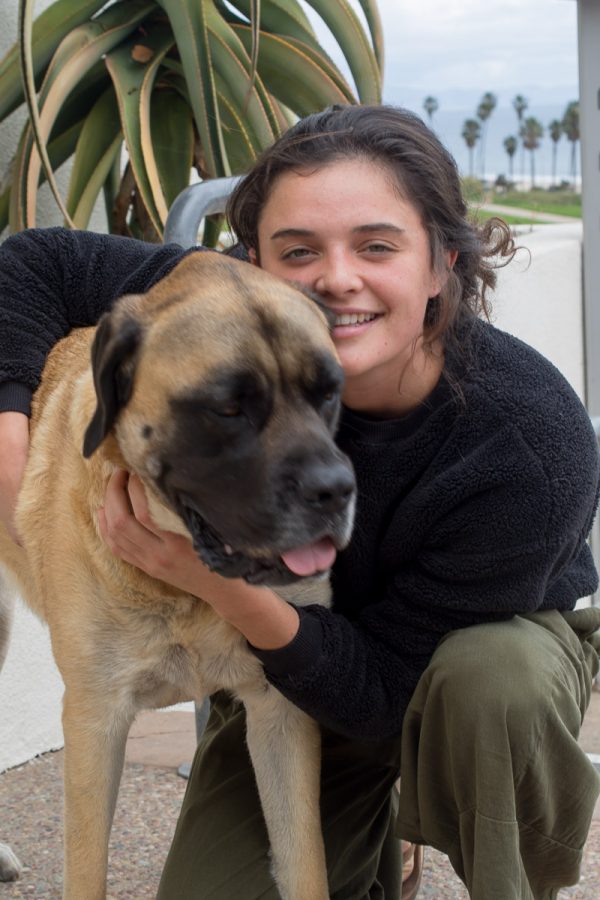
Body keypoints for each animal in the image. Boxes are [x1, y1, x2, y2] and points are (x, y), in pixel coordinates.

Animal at [0, 251, 356, 900]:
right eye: (229, 408)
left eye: (328, 394)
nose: (336, 490)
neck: (186, 591)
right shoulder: (93, 718)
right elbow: (86, 868)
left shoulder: (280, 710)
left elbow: (305, 862)